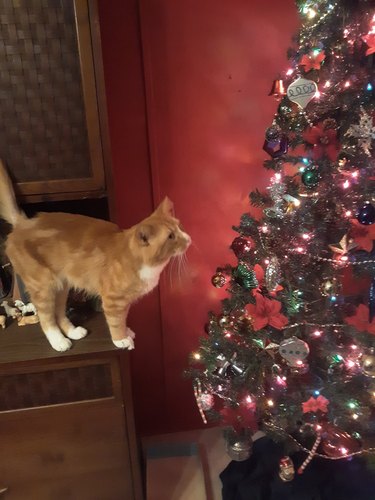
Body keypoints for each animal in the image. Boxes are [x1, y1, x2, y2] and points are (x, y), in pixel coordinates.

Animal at [0, 160, 191, 352]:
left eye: (180, 227)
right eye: (170, 237)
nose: (189, 239)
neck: (147, 265)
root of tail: (23, 223)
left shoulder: (125, 302)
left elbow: (123, 318)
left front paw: (126, 332)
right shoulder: (112, 299)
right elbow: (116, 321)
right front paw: (120, 339)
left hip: (61, 287)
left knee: (58, 313)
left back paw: (73, 332)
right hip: (44, 286)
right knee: (47, 319)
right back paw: (59, 341)